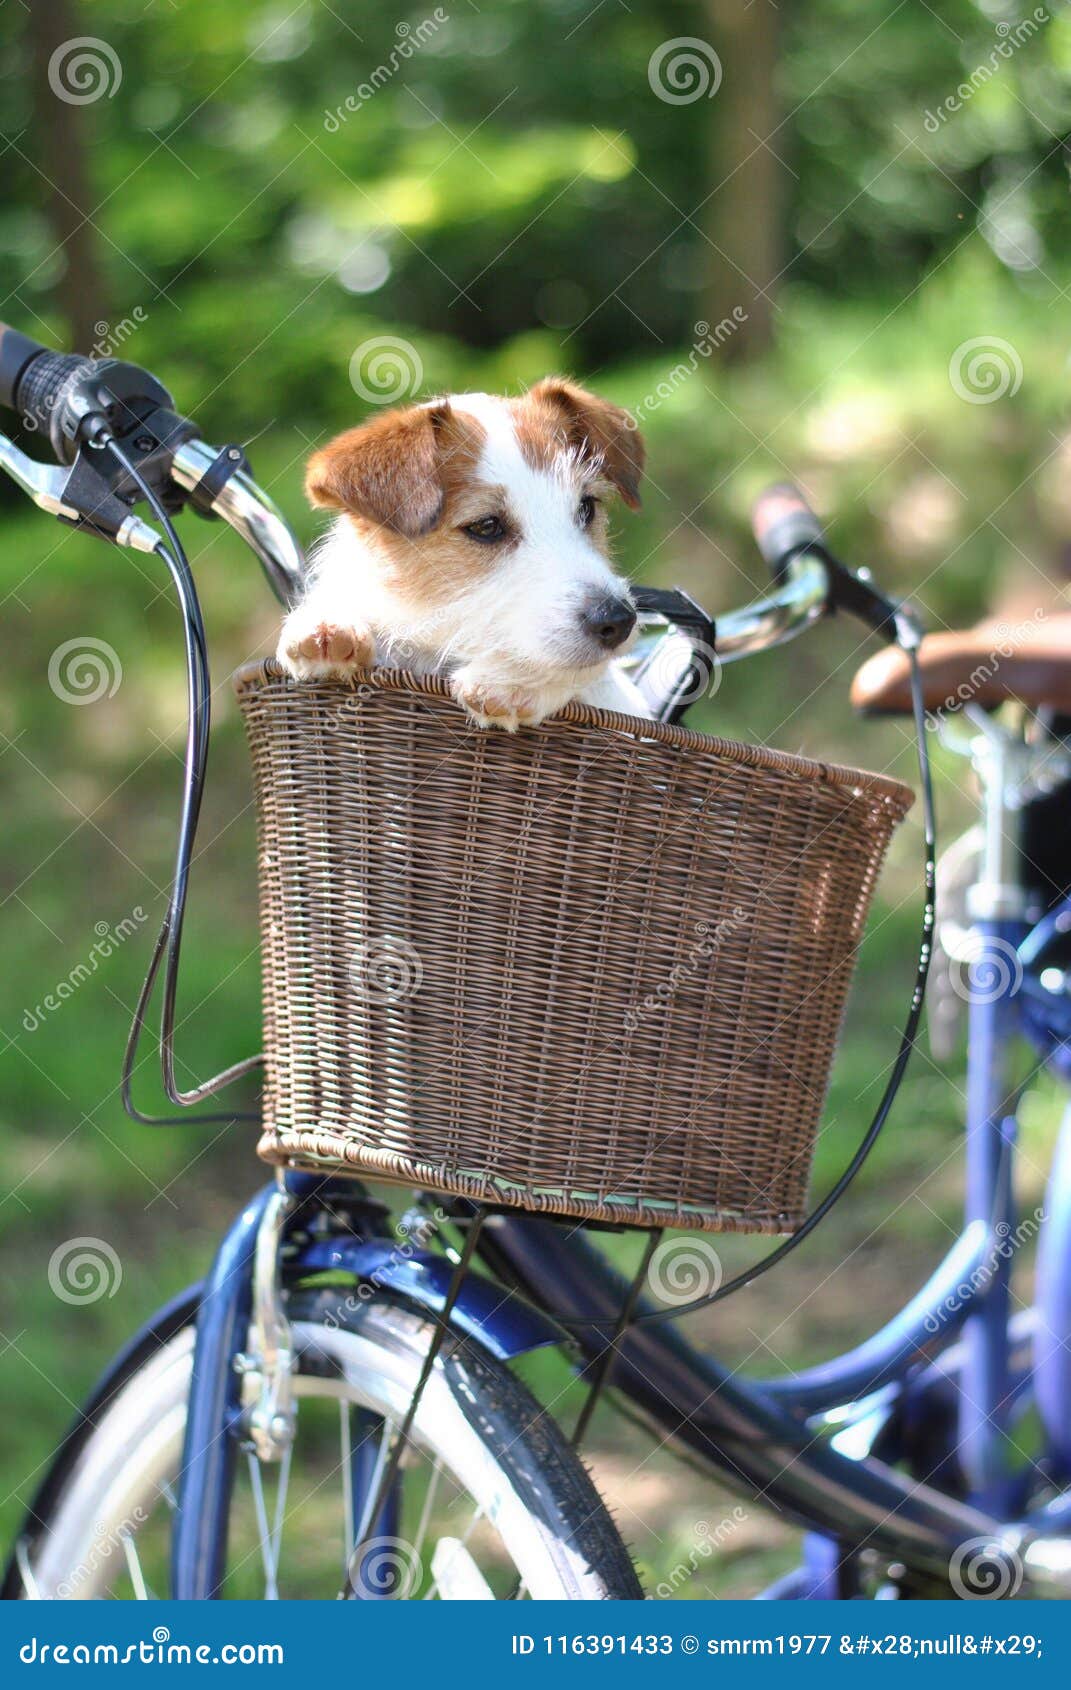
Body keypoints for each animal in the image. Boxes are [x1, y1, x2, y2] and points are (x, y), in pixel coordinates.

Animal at [275, 376, 645, 726]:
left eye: (587, 507)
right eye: (486, 526)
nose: (617, 620)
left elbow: (584, 674)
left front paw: (513, 680)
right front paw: (328, 623)